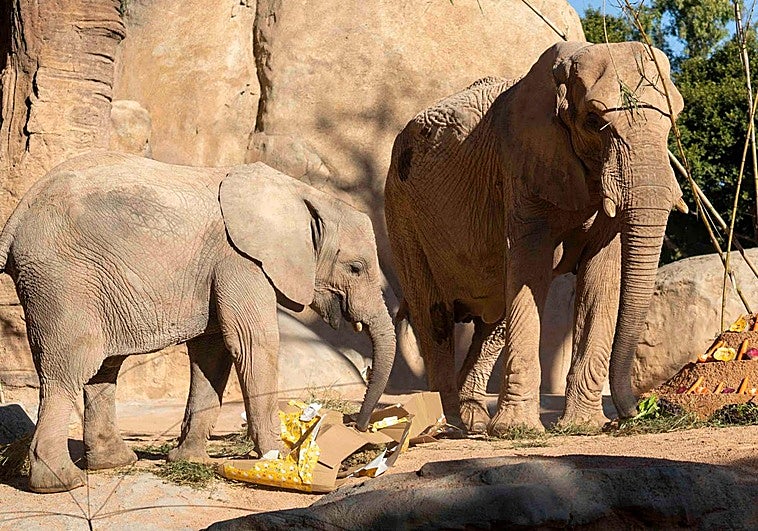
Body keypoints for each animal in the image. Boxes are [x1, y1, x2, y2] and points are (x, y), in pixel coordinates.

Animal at [0, 151, 395, 493]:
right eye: (355, 268)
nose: (359, 428)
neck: (305, 194)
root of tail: (16, 217)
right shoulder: (240, 260)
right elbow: (252, 344)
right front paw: (279, 457)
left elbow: (213, 353)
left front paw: (190, 460)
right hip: (63, 278)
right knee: (70, 366)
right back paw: (61, 483)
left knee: (104, 367)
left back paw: (115, 462)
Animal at [384, 41, 686, 435]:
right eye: (594, 121)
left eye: (673, 119)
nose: (634, 412)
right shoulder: (522, 164)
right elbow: (531, 267)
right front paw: (518, 431)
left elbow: (600, 276)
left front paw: (584, 426)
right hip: (402, 211)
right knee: (433, 314)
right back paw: (448, 423)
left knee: (494, 318)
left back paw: (474, 421)